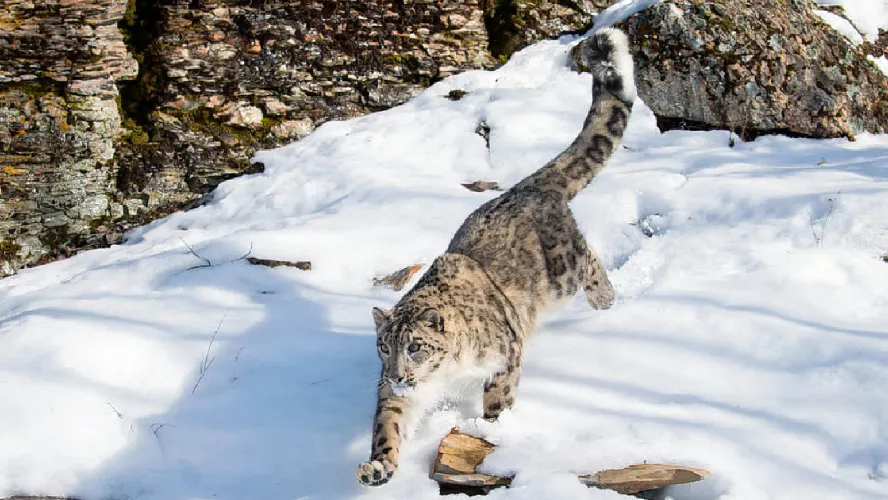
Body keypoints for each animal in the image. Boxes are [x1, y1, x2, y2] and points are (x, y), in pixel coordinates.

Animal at [356, 27, 637, 487]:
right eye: (383, 346)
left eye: (415, 345)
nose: (398, 374)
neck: (445, 374)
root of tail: (527, 186)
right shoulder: (396, 396)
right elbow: (389, 425)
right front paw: (378, 467)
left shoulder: (506, 356)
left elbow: (498, 398)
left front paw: (491, 431)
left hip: (563, 272)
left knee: (589, 258)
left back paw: (605, 301)